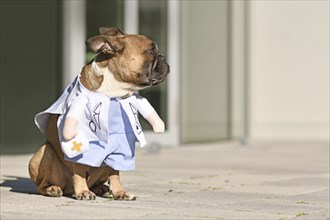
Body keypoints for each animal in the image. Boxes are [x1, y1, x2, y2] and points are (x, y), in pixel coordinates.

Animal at [27, 27, 170, 199]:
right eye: (150, 51)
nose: (163, 57)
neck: (114, 93)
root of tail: (68, 189)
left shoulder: (120, 144)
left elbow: (115, 172)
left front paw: (119, 192)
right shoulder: (78, 142)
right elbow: (79, 169)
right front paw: (83, 192)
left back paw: (102, 188)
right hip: (45, 152)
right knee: (41, 185)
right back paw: (53, 189)